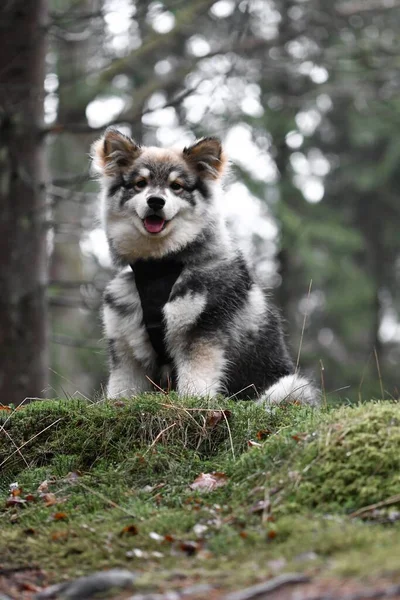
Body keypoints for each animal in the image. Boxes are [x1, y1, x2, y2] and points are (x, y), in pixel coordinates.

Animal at [91, 128, 318, 406]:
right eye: (140, 183)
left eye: (176, 186)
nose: (155, 201)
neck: (160, 266)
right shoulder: (126, 348)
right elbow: (122, 391)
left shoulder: (201, 334)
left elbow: (194, 383)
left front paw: (192, 404)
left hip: (288, 387)